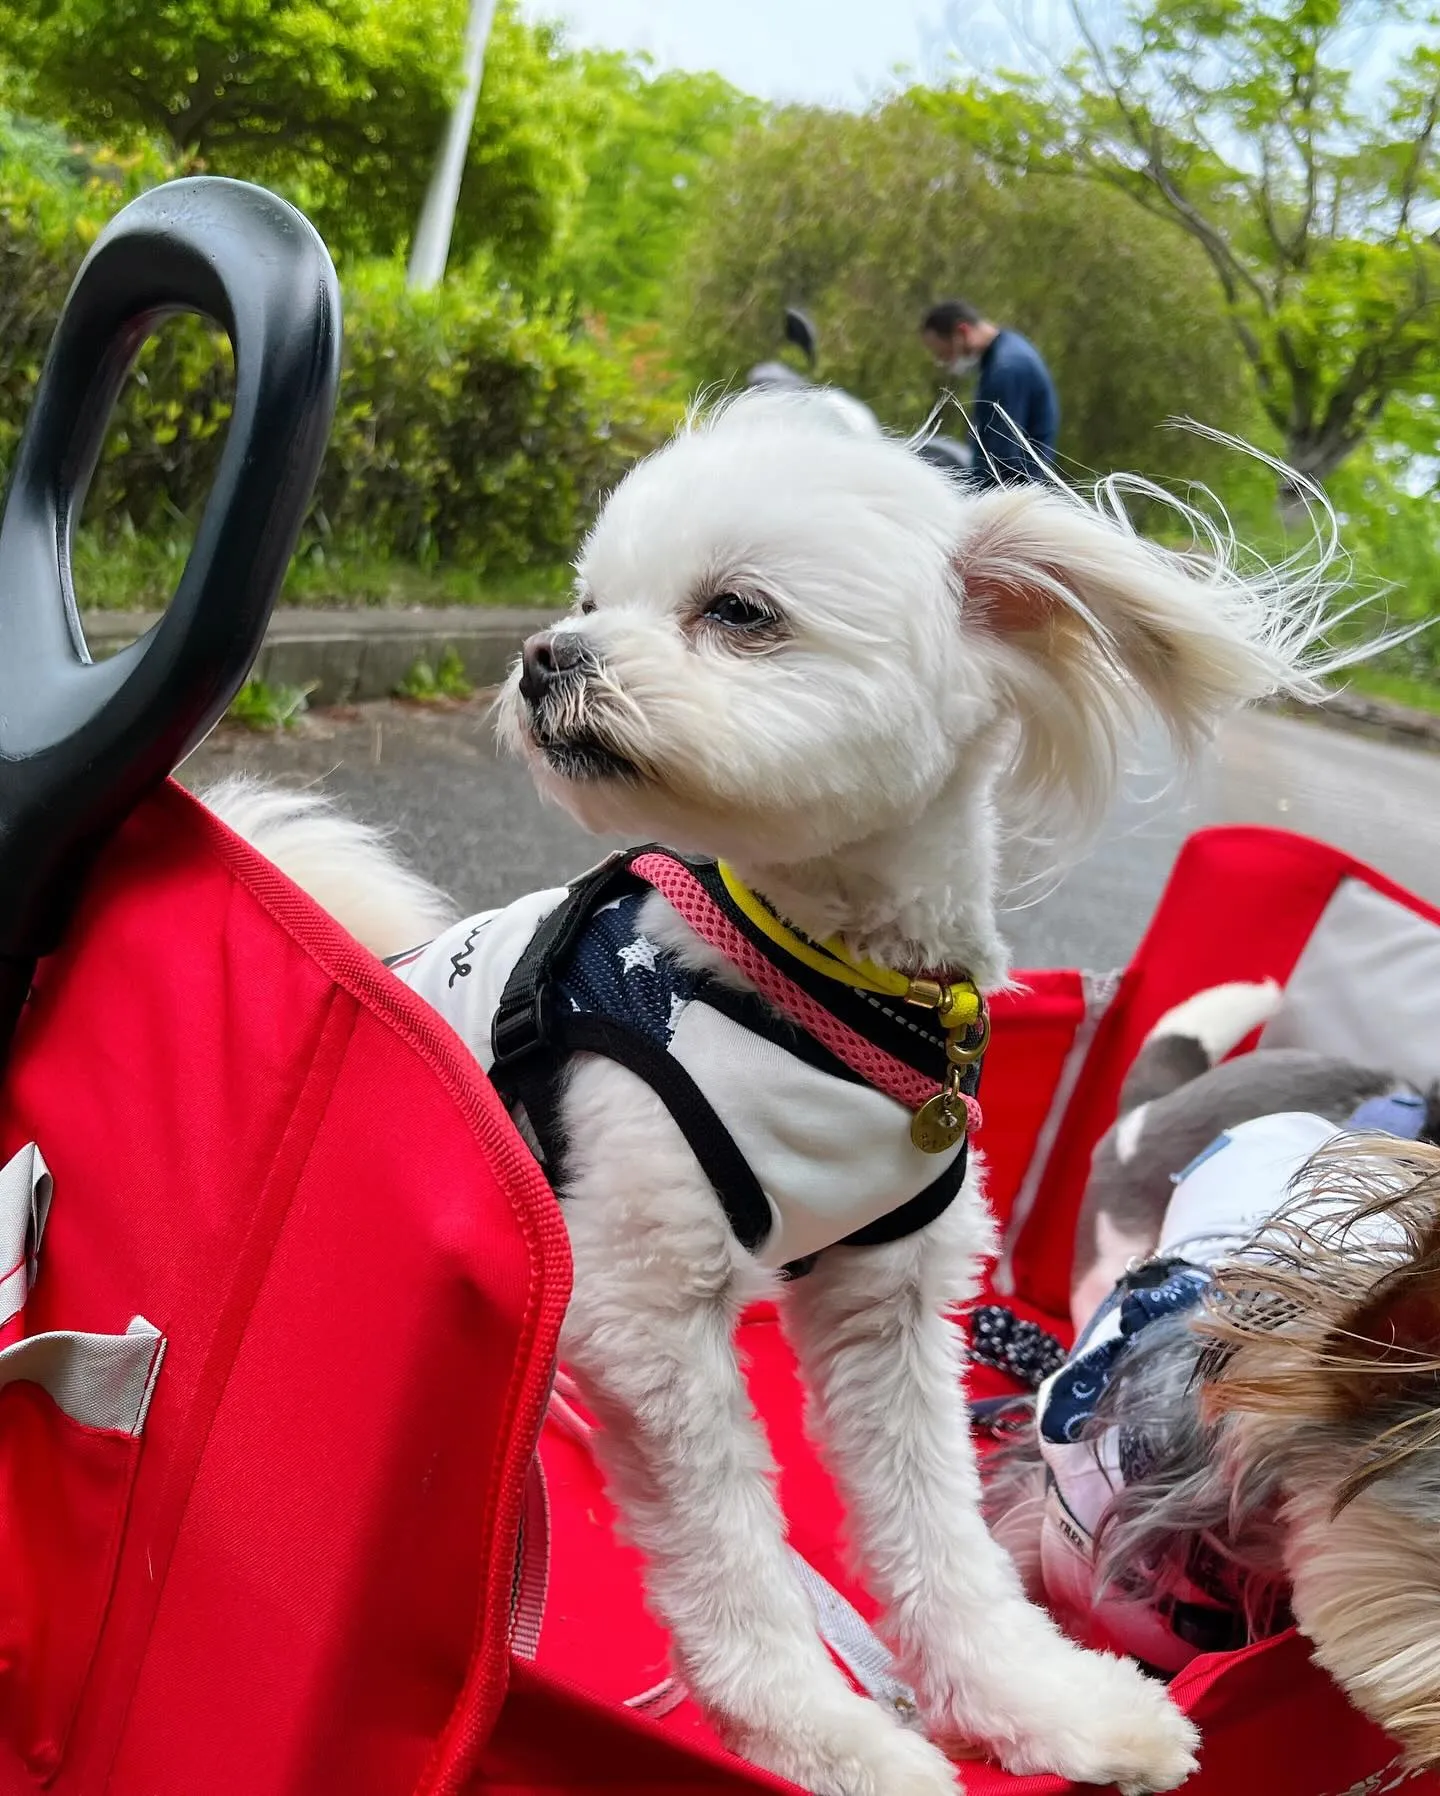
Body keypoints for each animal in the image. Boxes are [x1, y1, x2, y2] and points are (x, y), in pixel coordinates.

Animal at [210, 396, 1335, 1796]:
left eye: (738, 610)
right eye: (591, 598)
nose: (545, 654)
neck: (812, 982)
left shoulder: (890, 1302)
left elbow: (935, 1528)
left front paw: (1039, 1698)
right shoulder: (648, 1309)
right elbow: (735, 1557)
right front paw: (831, 1739)